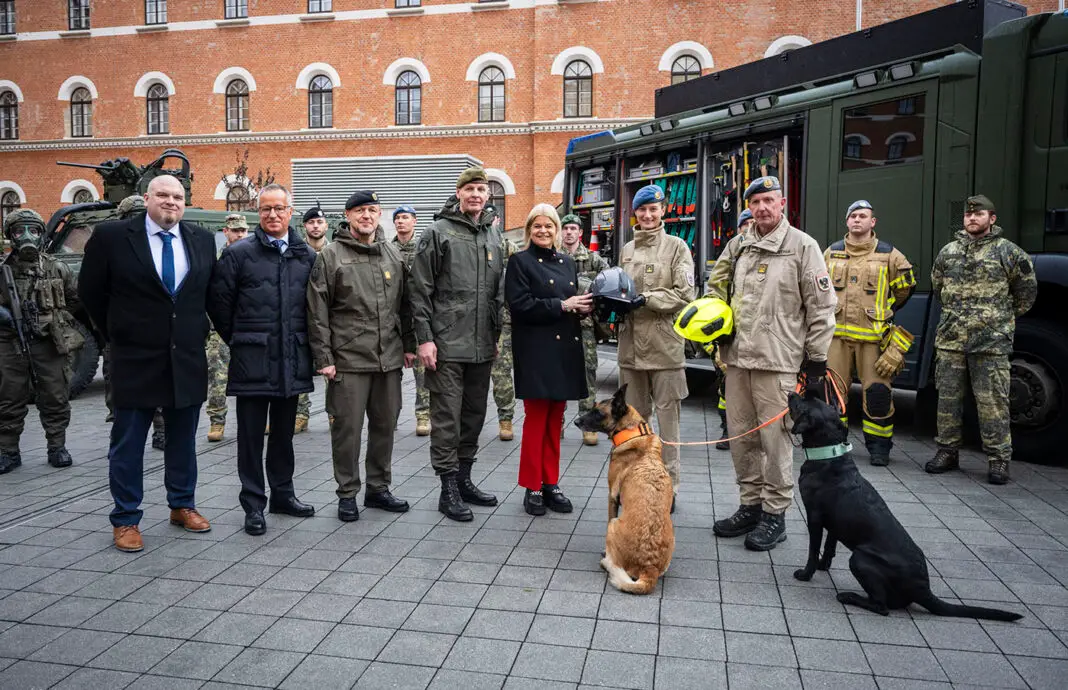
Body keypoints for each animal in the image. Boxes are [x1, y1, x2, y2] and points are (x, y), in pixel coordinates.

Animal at [580, 386, 670, 598]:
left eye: (598, 412)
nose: (576, 421)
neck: (634, 434)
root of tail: (650, 568)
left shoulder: (612, 497)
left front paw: (604, 553)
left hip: (613, 524)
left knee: (614, 564)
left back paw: (606, 562)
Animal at [790, 393, 1021, 623]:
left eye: (802, 402)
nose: (791, 393)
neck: (829, 455)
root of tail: (923, 588)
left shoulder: (814, 517)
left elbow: (813, 550)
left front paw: (806, 574)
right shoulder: (834, 523)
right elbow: (829, 546)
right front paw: (823, 566)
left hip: (860, 558)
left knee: (881, 606)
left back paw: (849, 596)